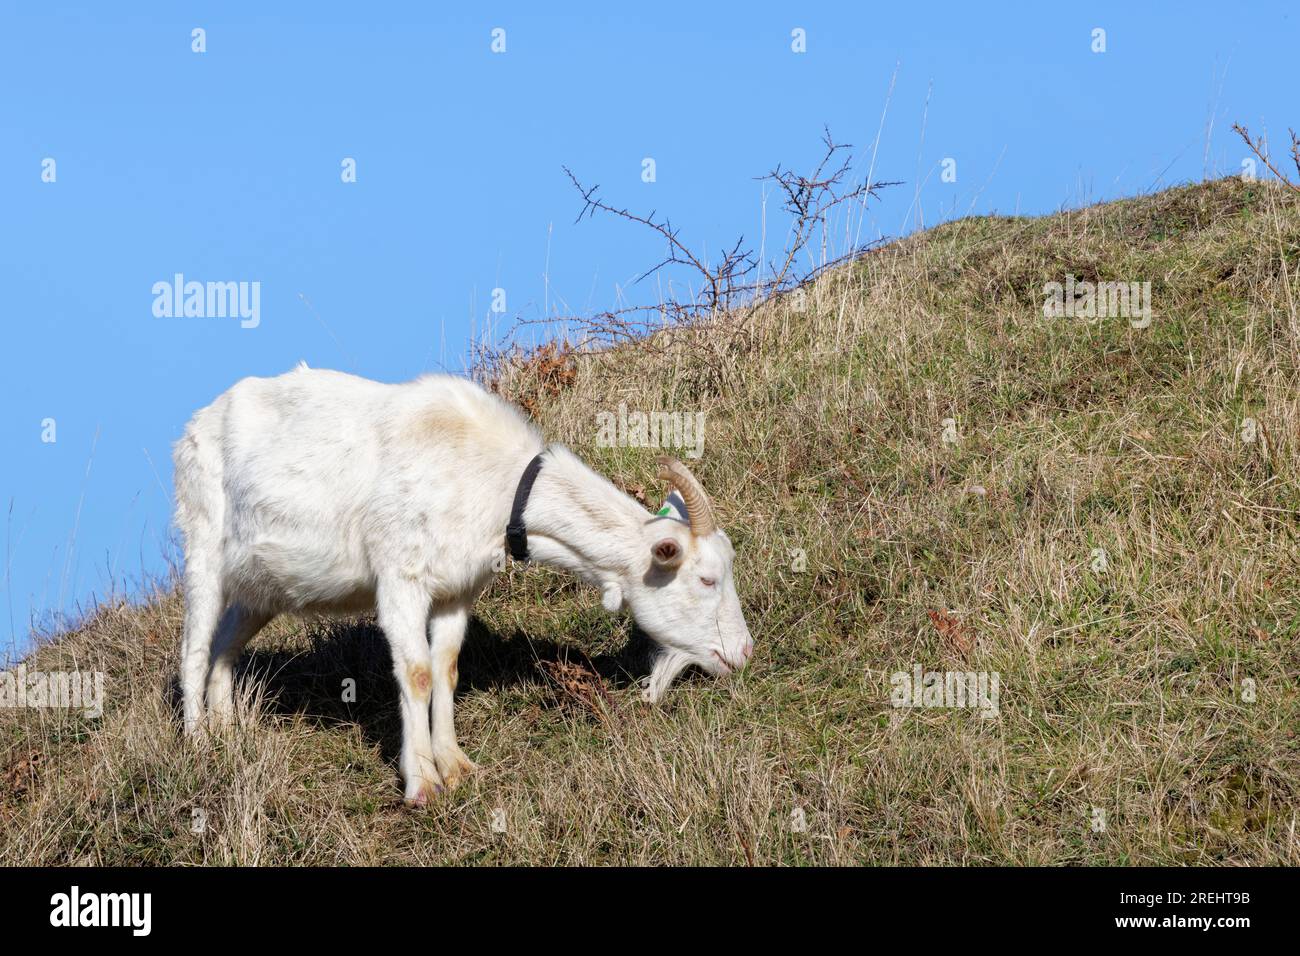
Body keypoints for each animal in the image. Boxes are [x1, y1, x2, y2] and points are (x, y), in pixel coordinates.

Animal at [178, 364, 759, 801]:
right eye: (707, 579)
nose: (744, 652)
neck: (494, 480)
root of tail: (198, 421)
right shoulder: (401, 576)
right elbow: (415, 673)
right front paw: (422, 783)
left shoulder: (457, 591)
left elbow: (447, 669)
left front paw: (456, 766)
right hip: (202, 542)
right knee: (196, 647)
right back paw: (198, 745)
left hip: (261, 589)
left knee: (226, 646)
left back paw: (230, 733)